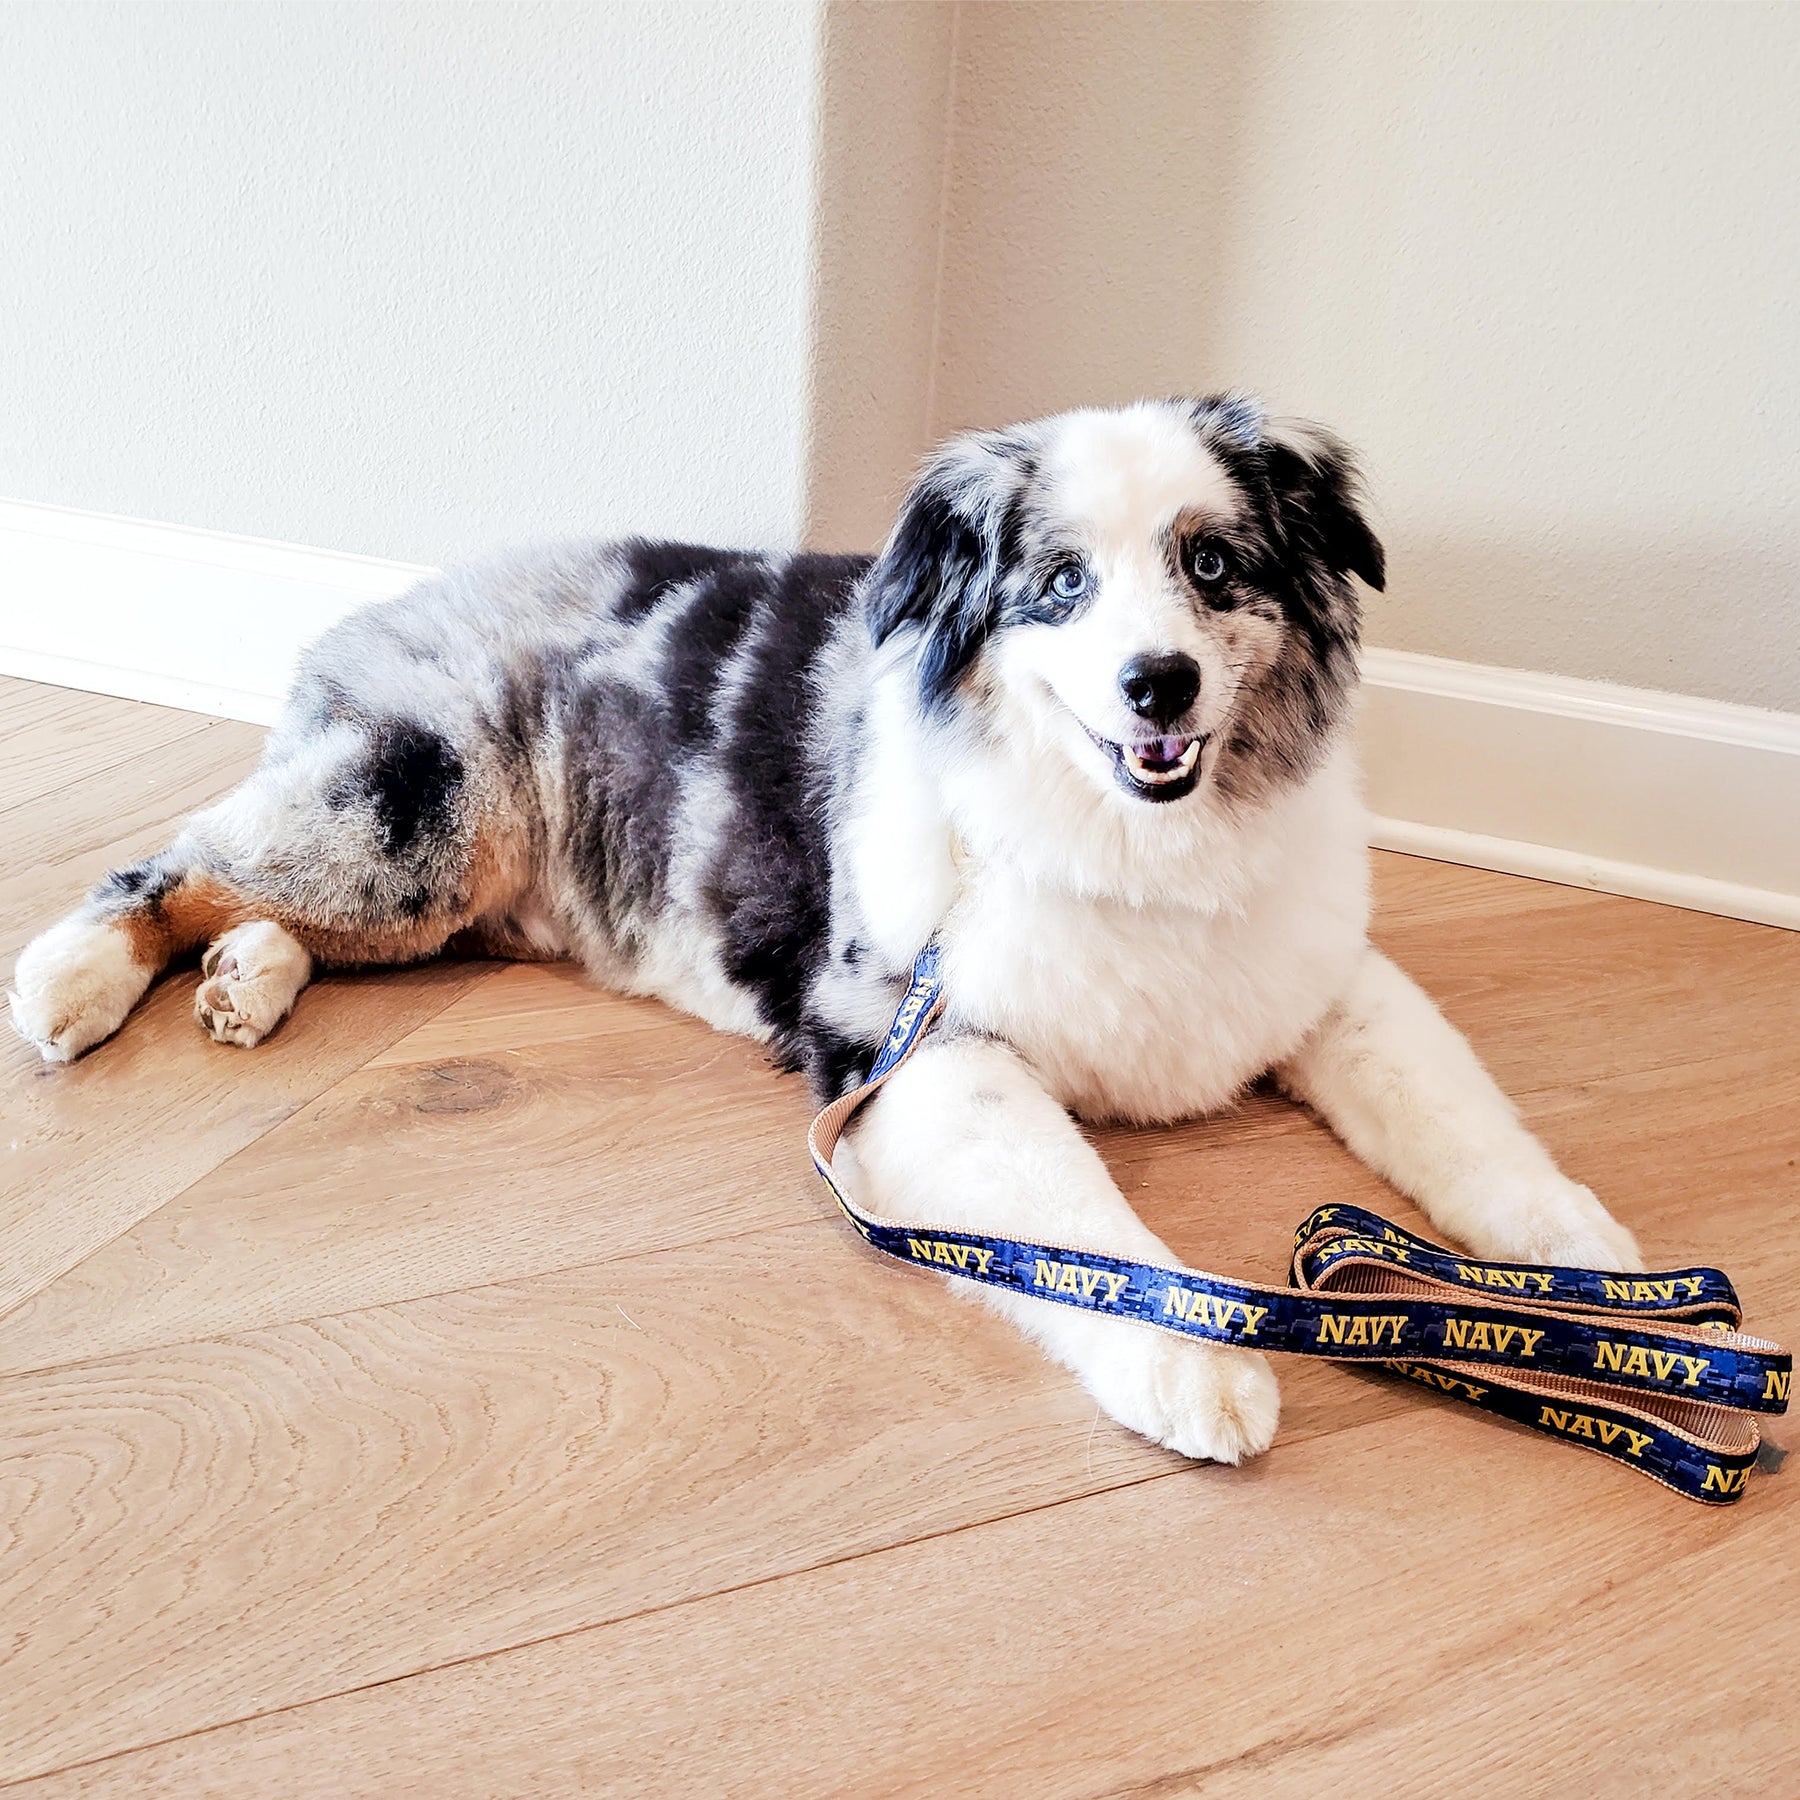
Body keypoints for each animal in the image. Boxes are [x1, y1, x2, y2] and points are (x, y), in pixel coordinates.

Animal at [7, 394, 1641, 1461]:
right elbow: (1077, 1219)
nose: (1158, 684)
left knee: (268, 899)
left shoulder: (1320, 980)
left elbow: (1469, 1124)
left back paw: (247, 980)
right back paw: (73, 978)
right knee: (183, 859)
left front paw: (1602, 1275)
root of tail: (383, 606)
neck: (1131, 842)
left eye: (1215, 564)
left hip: (435, 885)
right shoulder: (917, 1050)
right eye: (1060, 582)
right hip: (421, 812)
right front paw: (1194, 1369)